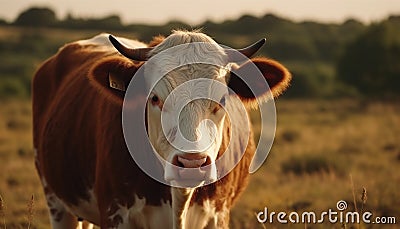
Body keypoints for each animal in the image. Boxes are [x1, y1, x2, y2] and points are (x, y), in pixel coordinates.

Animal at [32, 29, 290, 228]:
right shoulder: (115, 214)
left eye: (223, 99)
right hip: (55, 201)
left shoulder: (219, 215)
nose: (192, 163)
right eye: (155, 98)